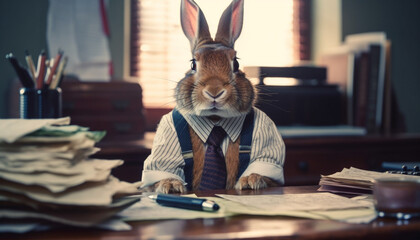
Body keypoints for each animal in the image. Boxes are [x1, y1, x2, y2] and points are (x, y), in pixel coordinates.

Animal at [142, 0, 286, 193]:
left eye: (236, 63)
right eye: (193, 64)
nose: (214, 90)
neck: (215, 120)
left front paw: (251, 180)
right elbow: (163, 170)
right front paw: (170, 185)